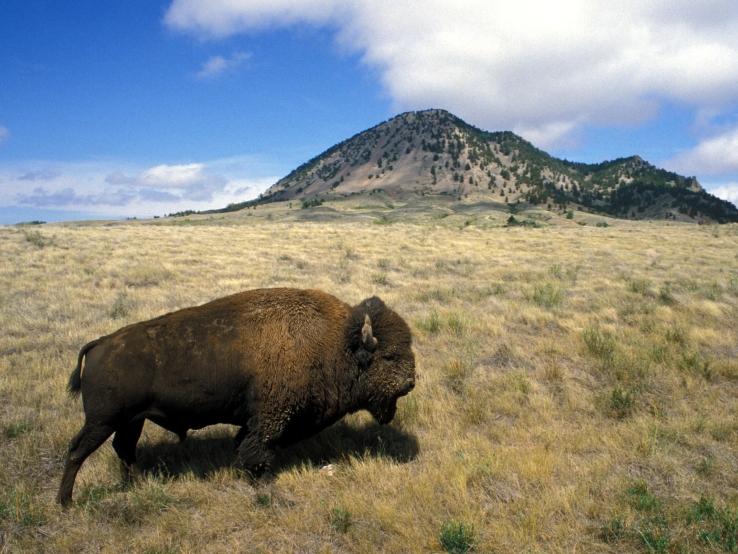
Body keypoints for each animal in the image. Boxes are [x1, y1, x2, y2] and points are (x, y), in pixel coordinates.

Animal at [57, 288, 414, 504]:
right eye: (389, 357)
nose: (410, 382)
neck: (336, 343)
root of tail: (100, 343)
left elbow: (244, 443)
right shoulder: (271, 418)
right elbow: (258, 450)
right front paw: (263, 484)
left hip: (131, 420)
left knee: (124, 448)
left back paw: (137, 484)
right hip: (103, 420)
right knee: (77, 451)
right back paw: (65, 502)